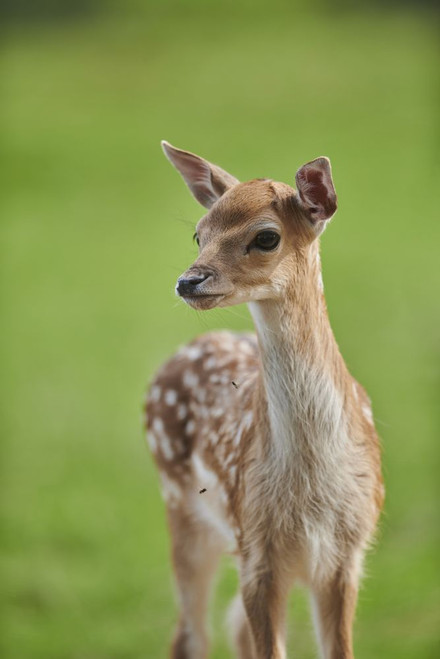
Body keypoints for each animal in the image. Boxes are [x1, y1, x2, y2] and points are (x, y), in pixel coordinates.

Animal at [145, 141, 384, 659]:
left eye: (267, 237)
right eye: (198, 234)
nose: (188, 281)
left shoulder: (347, 553)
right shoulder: (257, 543)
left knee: (229, 626)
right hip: (182, 506)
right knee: (190, 633)